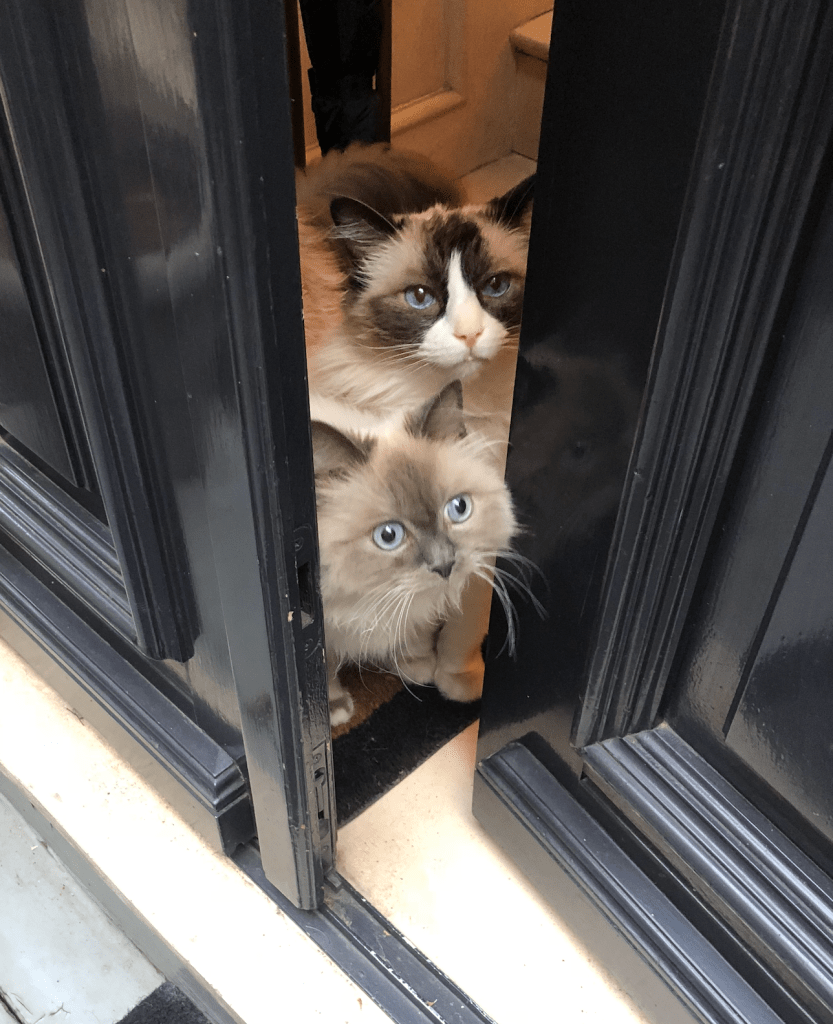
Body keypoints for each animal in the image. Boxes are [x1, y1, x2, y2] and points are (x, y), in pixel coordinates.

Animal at [310, 381, 517, 725]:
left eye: (459, 508)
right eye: (388, 536)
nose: (445, 565)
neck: (373, 596)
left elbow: (418, 631)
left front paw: (416, 665)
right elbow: (322, 672)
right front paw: (332, 711)